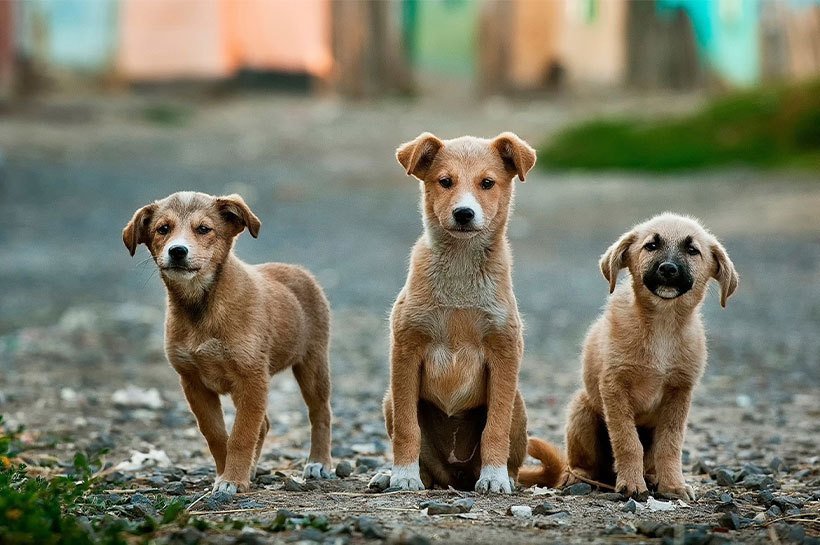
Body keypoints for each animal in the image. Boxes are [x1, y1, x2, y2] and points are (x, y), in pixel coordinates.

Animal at [122, 190, 334, 492]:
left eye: (203, 229)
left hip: (312, 363)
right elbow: (217, 434)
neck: (202, 307)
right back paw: (253, 469)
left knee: (320, 413)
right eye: (163, 229)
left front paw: (232, 479)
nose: (177, 251)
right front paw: (227, 474)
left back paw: (319, 462)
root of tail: (297, 270)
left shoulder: (252, 377)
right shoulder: (193, 382)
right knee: (264, 424)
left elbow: (242, 434)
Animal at [376, 132, 540, 492]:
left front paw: (494, 478)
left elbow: (495, 428)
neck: (461, 272)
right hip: (389, 400)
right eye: (445, 181)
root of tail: (456, 476)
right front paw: (403, 475)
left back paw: (504, 476)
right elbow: (408, 429)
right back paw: (392, 475)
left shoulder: (505, 352)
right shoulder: (406, 351)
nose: (464, 213)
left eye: (487, 183)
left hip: (519, 405)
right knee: (426, 462)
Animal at [524, 211, 744, 498]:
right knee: (581, 463)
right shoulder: (614, 387)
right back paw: (579, 477)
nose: (668, 269)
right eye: (651, 245)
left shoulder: (680, 392)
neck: (662, 325)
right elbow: (627, 441)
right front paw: (631, 483)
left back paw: (652, 477)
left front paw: (673, 484)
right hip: (582, 410)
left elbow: (670, 445)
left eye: (692, 250)